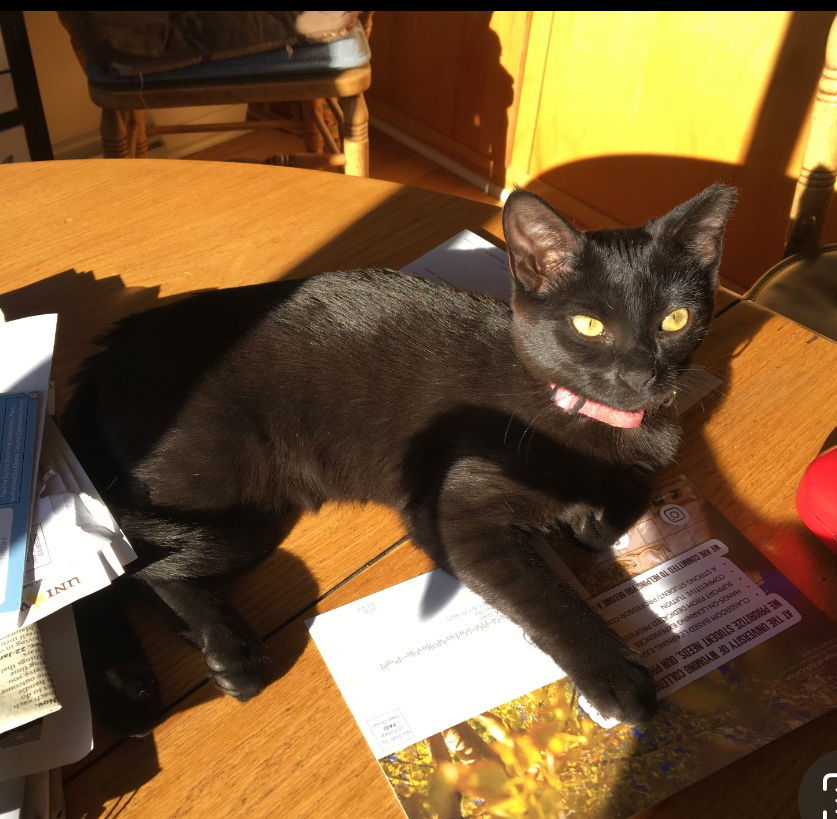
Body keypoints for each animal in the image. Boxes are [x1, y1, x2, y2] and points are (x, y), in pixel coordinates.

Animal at [62, 186, 736, 736]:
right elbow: (551, 600)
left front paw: (591, 517)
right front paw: (616, 677)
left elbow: (633, 488)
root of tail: (110, 349)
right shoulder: (458, 515)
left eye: (675, 319)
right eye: (589, 324)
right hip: (218, 486)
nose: (641, 376)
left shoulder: (650, 451)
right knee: (121, 567)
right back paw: (168, 675)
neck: (581, 417)